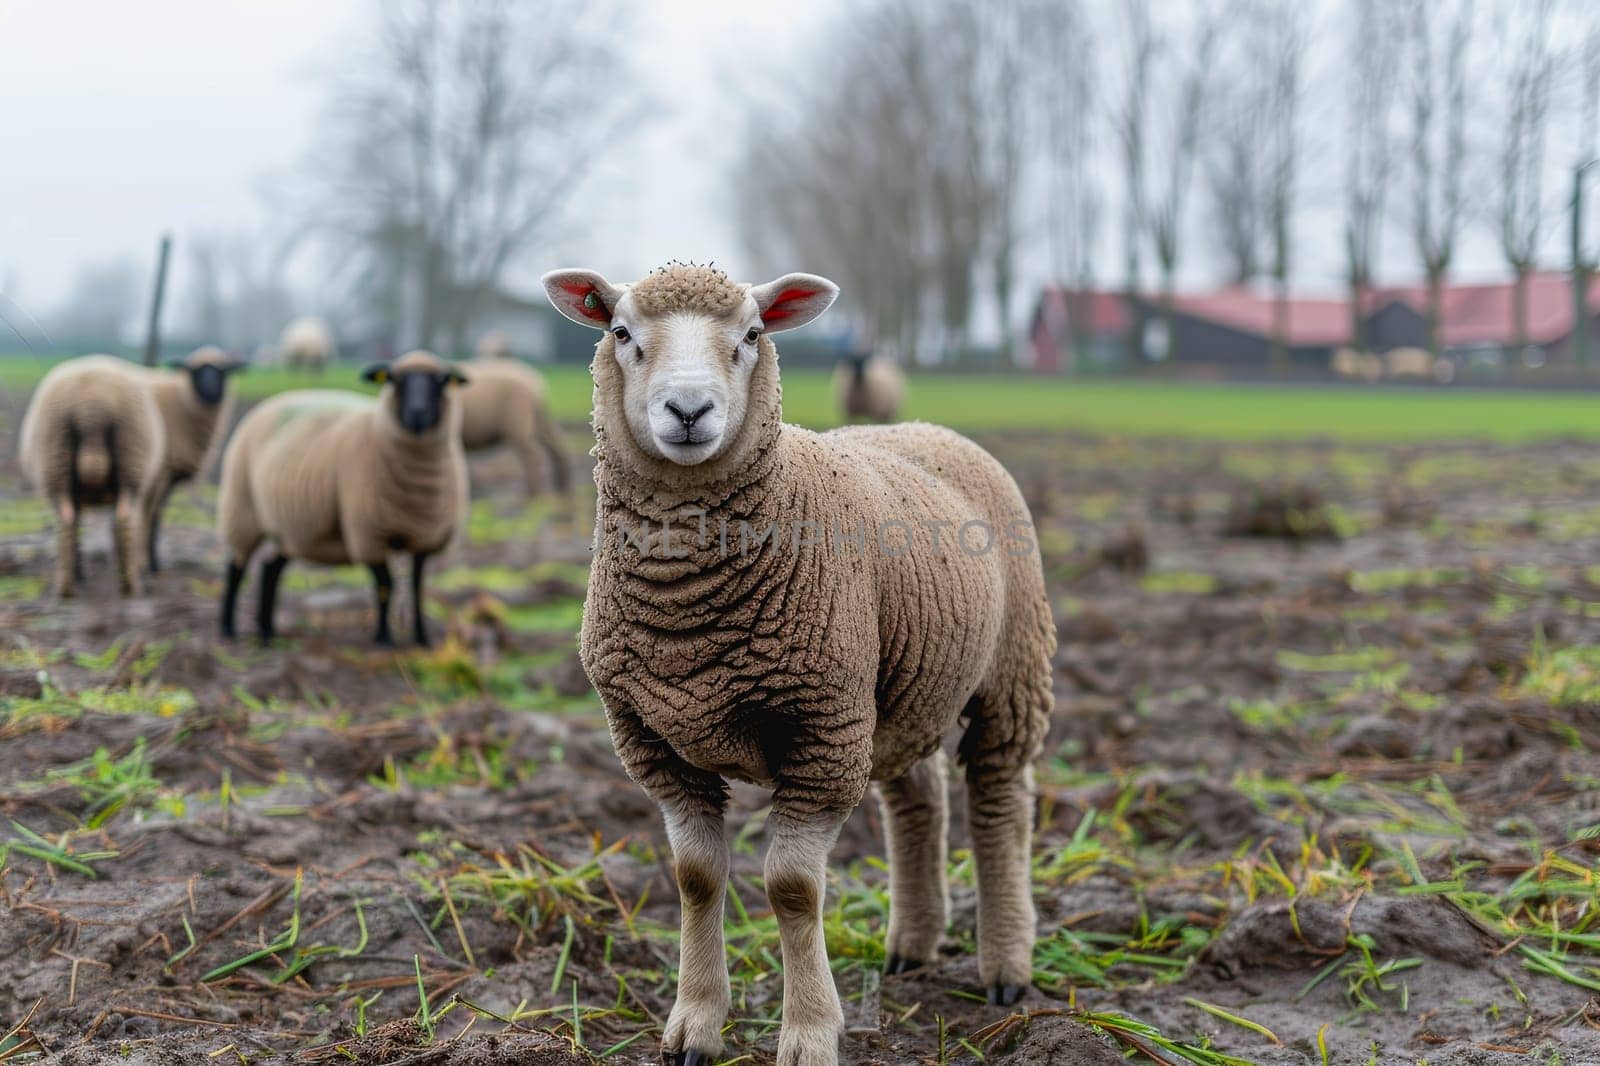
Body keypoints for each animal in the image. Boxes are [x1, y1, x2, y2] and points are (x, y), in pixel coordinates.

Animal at [17, 352, 165, 592]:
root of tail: (92, 407)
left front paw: (79, 572)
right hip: (130, 463)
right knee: (122, 518)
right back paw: (129, 585)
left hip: (57, 462)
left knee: (67, 520)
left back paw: (68, 587)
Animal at [141, 344, 246, 569]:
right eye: (195, 372)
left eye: (222, 371)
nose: (211, 389)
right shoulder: (160, 471)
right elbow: (152, 514)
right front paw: (149, 562)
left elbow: (155, 513)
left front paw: (148, 559)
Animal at [212, 352, 467, 643]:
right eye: (394, 380)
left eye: (441, 381)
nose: (417, 413)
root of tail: (275, 399)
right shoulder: (368, 534)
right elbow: (386, 585)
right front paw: (384, 639)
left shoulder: (426, 536)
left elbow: (417, 587)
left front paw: (421, 638)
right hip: (242, 507)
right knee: (236, 567)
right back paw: (228, 629)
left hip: (290, 528)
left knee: (270, 568)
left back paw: (268, 632)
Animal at [454, 355, 572, 492]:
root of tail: (535, 381)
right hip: (538, 419)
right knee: (558, 444)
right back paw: (562, 487)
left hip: (519, 421)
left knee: (533, 454)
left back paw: (534, 492)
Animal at [544, 259, 1056, 1062]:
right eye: (621, 333)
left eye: (753, 334)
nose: (688, 409)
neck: (688, 619)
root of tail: (929, 429)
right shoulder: (653, 740)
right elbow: (696, 877)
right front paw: (694, 1023)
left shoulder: (822, 730)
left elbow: (792, 887)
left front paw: (810, 1031)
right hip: (894, 691)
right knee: (919, 799)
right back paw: (911, 944)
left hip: (1010, 668)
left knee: (999, 799)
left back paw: (1005, 966)